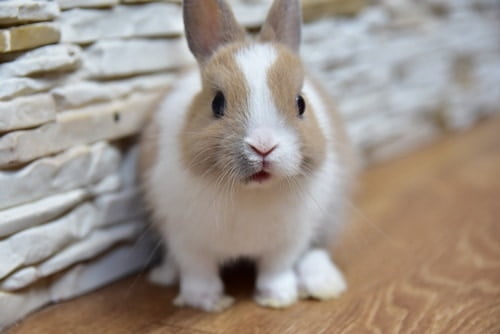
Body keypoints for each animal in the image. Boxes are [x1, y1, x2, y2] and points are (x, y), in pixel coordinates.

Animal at [138, 0, 356, 312]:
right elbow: (198, 272)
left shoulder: (289, 239)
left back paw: (323, 283)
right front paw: (206, 301)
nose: (263, 146)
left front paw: (278, 298)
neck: (251, 192)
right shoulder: (184, 237)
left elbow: (276, 268)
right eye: (217, 103)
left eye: (300, 103)